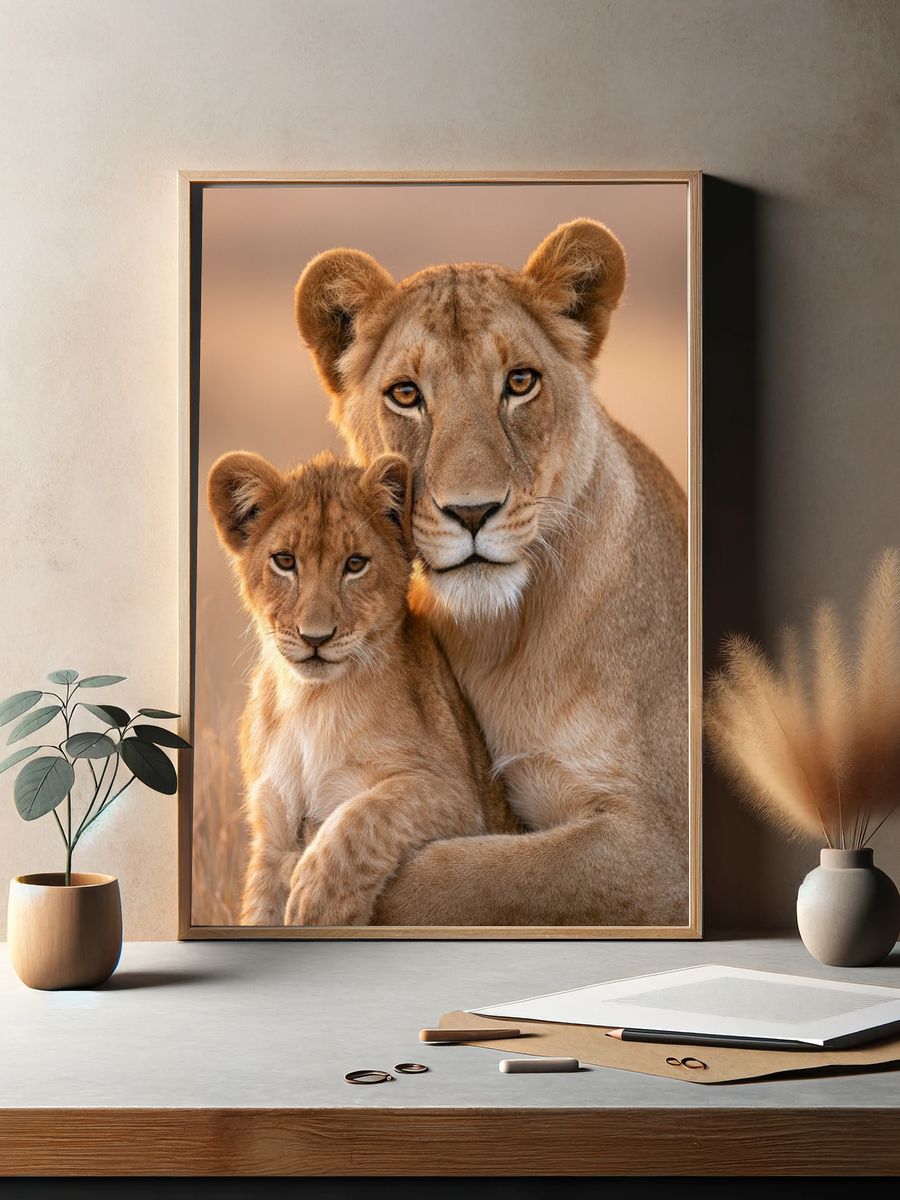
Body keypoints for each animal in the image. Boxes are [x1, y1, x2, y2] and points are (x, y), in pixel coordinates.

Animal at [207, 449, 515, 927]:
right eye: (284, 561)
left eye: (355, 564)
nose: (315, 637)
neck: (309, 703)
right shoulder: (271, 835)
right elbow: (259, 912)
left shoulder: (458, 797)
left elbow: (366, 815)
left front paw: (317, 900)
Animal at [294, 218, 689, 927]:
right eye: (406, 394)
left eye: (521, 382)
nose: (472, 511)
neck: (501, 639)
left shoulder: (663, 848)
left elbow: (477, 875)